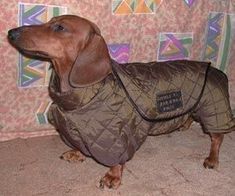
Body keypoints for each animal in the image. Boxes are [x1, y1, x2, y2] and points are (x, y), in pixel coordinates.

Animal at [8, 14, 234, 189]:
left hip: (213, 109)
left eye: (60, 27)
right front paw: (77, 153)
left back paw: (212, 158)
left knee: (217, 137)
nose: (11, 33)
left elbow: (117, 159)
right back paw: (183, 125)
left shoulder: (115, 135)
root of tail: (216, 69)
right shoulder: (79, 128)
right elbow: (80, 143)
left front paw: (112, 176)